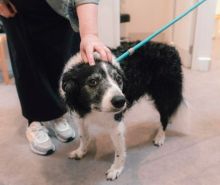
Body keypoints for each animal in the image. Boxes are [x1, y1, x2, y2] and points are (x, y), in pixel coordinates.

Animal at [59, 41, 183, 180]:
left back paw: (160, 137)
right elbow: (83, 136)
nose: (120, 101)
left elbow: (119, 151)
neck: (91, 108)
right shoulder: (80, 118)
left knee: (164, 117)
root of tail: (171, 47)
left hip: (164, 94)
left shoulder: (116, 124)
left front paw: (116, 169)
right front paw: (80, 152)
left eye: (118, 79)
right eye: (92, 82)